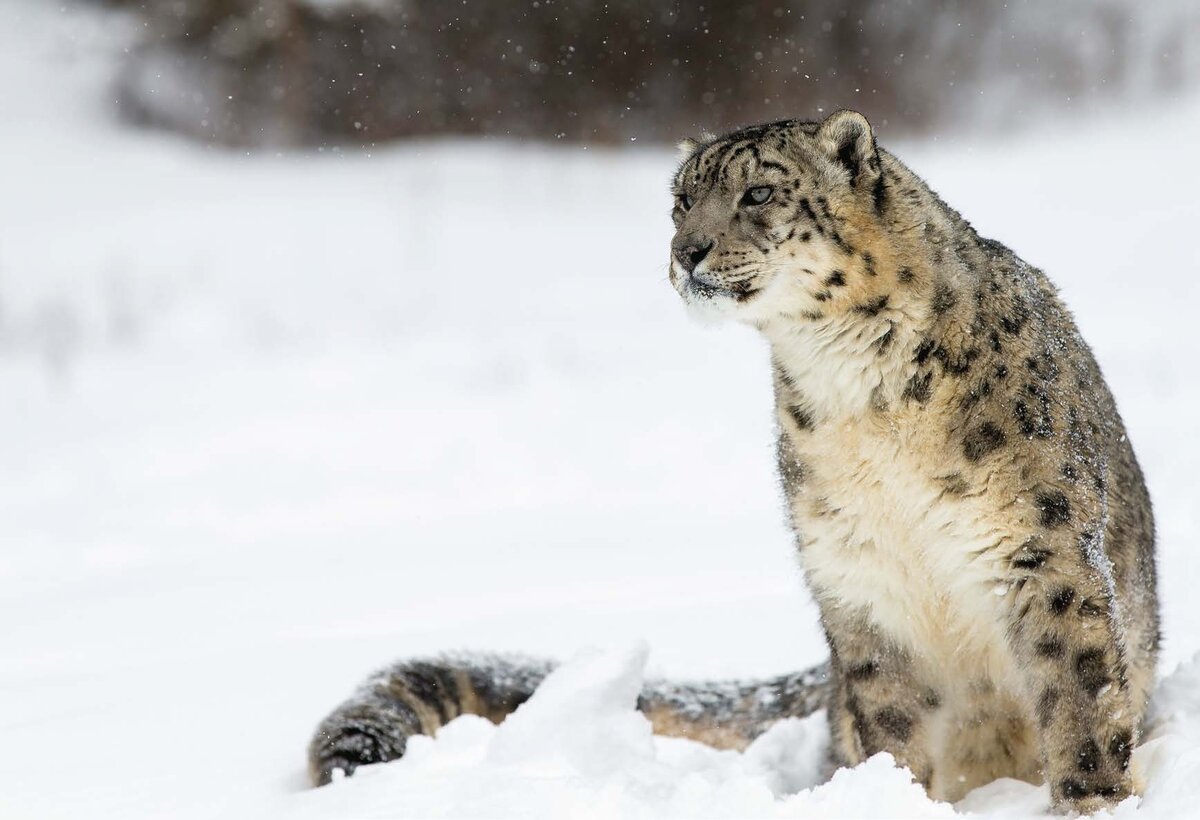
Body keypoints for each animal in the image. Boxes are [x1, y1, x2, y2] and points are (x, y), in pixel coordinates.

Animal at [307, 109, 1152, 816]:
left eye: (759, 192)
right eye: (680, 201)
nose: (686, 252)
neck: (860, 393)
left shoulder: (1041, 547)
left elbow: (1078, 696)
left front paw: (1091, 803)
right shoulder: (858, 574)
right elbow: (893, 720)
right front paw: (892, 795)